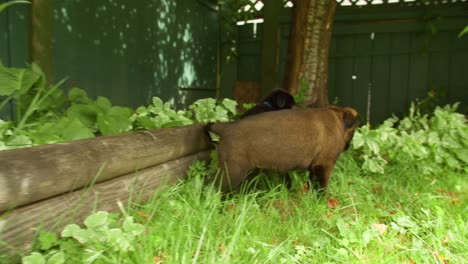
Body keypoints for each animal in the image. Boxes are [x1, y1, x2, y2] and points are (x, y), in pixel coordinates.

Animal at [208, 105, 358, 192]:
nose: (347, 147)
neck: (337, 119)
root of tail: (225, 128)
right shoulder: (324, 165)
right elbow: (322, 187)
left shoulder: (315, 167)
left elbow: (312, 183)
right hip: (233, 170)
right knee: (212, 186)